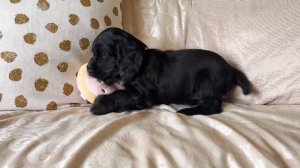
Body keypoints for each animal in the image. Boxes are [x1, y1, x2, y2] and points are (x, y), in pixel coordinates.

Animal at [86, 27, 251, 116]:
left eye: (103, 55)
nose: (88, 68)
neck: (140, 63)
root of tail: (230, 68)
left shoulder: (143, 94)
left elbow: (120, 94)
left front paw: (99, 105)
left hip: (206, 84)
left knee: (215, 106)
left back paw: (187, 111)